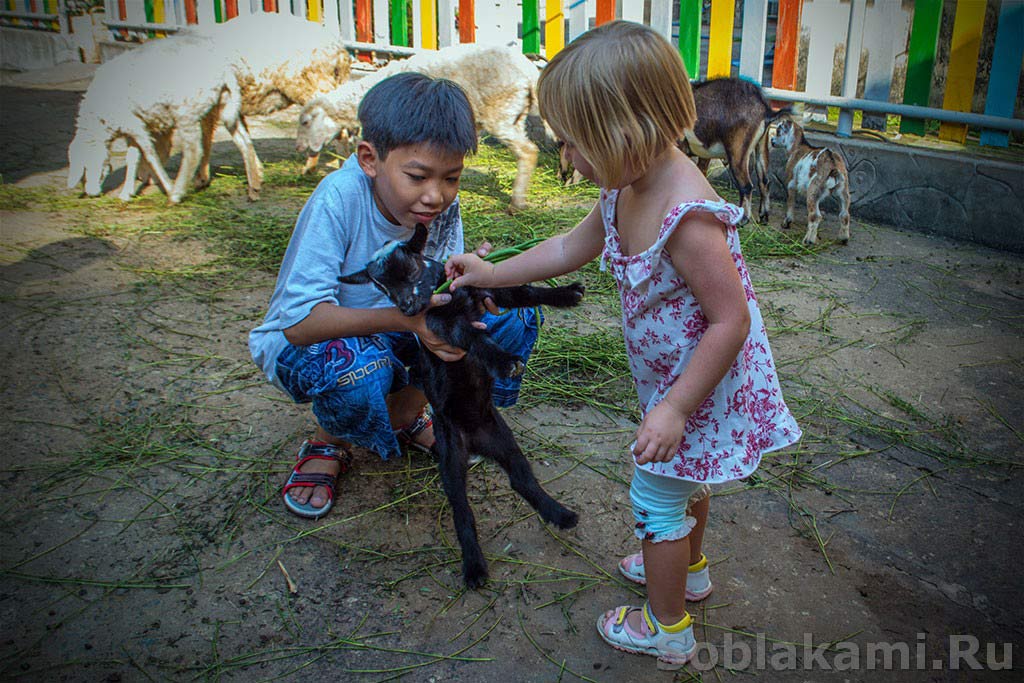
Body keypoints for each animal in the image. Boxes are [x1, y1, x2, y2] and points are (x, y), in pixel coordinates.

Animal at [296, 42, 548, 210]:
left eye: (306, 122)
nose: (299, 148)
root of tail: (528, 71)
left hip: (500, 110)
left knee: (528, 151)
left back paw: (517, 202)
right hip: (515, 112)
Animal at [339, 224, 585, 589]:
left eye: (409, 268)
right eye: (381, 287)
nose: (407, 310)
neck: (450, 295)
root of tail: (474, 443)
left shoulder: (483, 290)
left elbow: (522, 291)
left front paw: (567, 294)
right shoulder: (440, 326)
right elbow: (472, 336)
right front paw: (504, 361)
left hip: (504, 439)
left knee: (521, 480)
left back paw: (560, 514)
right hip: (451, 456)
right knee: (461, 509)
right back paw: (474, 568)